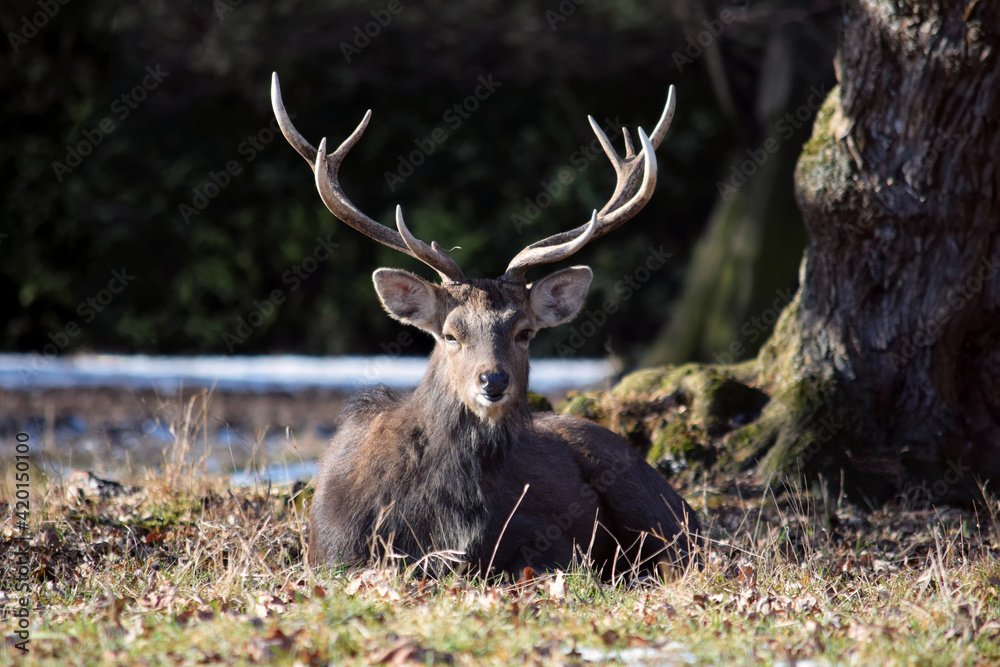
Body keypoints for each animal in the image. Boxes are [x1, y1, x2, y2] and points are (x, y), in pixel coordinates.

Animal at [270, 73, 699, 580]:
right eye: (450, 334)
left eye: (525, 332)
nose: (493, 380)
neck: (445, 520)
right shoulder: (332, 550)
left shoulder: (546, 537)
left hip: (651, 503)